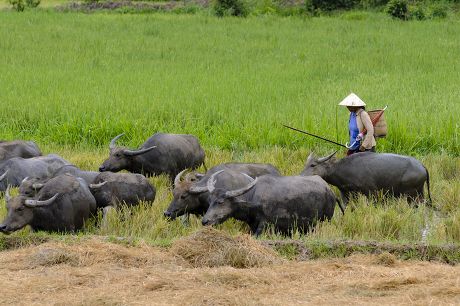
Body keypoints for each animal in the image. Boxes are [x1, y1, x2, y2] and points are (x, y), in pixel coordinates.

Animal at [202, 172, 342, 237]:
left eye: (220, 202)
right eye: (209, 201)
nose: (205, 221)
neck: (253, 198)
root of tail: (329, 191)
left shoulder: (265, 224)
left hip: (325, 220)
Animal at [302, 151, 432, 206]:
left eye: (313, 165)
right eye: (306, 164)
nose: (301, 176)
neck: (343, 169)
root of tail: (421, 165)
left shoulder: (371, 193)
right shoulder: (346, 193)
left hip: (412, 194)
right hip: (419, 193)